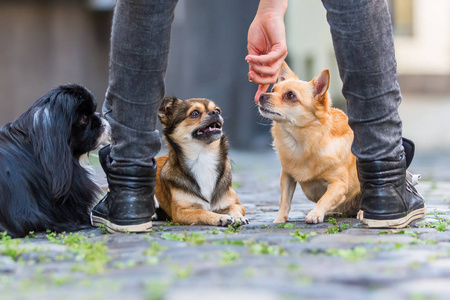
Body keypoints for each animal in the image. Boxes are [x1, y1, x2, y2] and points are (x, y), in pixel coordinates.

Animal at [156, 97, 248, 226]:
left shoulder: (236, 203)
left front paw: (238, 217)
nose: (215, 113)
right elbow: (201, 211)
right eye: (195, 113)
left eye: (218, 110)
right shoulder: (180, 212)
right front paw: (220, 217)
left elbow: (233, 207)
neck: (203, 156)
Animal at [258, 62, 360, 224]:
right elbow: (284, 200)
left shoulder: (339, 184)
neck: (301, 142)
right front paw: (279, 219)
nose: (262, 96)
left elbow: (325, 198)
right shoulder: (287, 176)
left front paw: (315, 214)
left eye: (290, 95)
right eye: (273, 90)